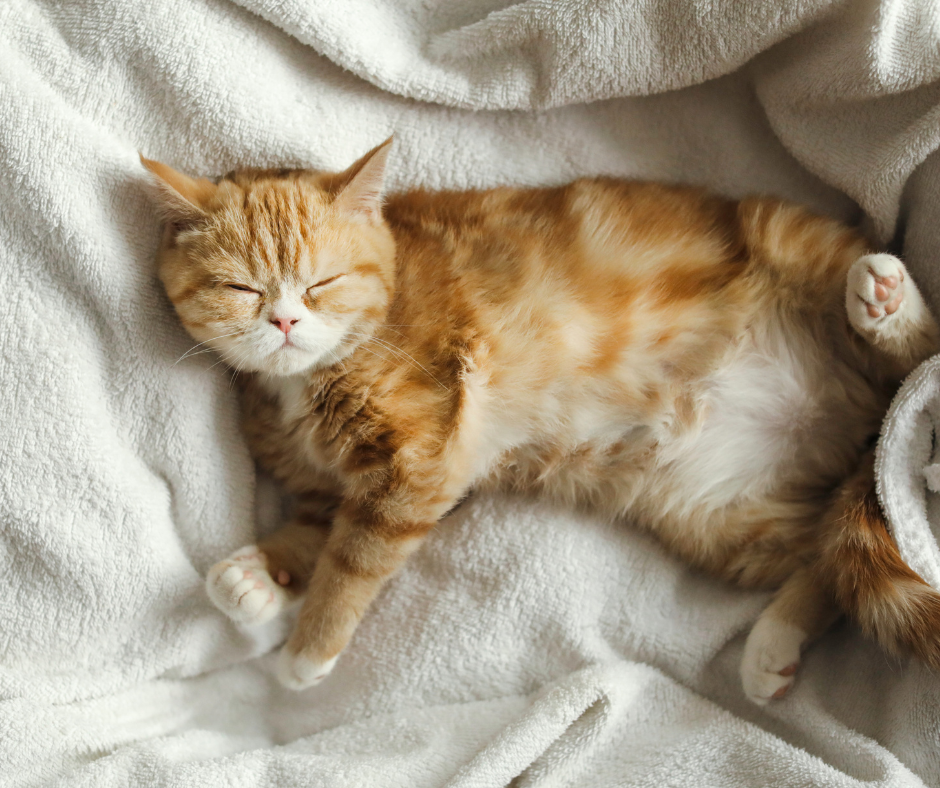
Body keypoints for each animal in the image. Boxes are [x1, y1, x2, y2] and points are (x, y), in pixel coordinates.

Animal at [141, 140, 940, 700]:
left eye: (322, 282)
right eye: (241, 288)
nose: (283, 320)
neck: (303, 383)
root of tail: (861, 427)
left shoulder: (416, 464)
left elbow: (353, 557)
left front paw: (309, 647)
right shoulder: (324, 487)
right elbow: (313, 531)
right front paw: (256, 577)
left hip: (788, 238)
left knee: (919, 352)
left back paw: (885, 301)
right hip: (726, 519)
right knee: (827, 560)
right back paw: (775, 642)